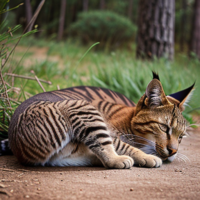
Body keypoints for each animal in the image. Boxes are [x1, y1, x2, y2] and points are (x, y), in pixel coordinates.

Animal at [7, 72, 194, 168]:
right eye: (164, 127)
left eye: (181, 137)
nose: (174, 152)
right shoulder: (112, 133)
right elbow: (126, 145)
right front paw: (148, 156)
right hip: (84, 108)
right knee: (107, 150)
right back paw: (122, 159)